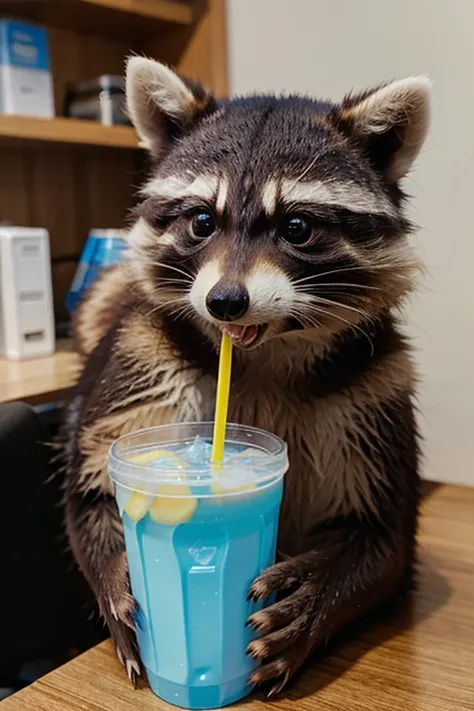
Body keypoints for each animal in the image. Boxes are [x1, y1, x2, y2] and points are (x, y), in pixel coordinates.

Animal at [64, 58, 434, 692]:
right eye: (201, 220)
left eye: (297, 227)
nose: (225, 302)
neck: (268, 353)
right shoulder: (143, 360)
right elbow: (87, 494)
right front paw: (117, 576)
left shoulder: (377, 385)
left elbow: (381, 536)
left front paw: (320, 591)